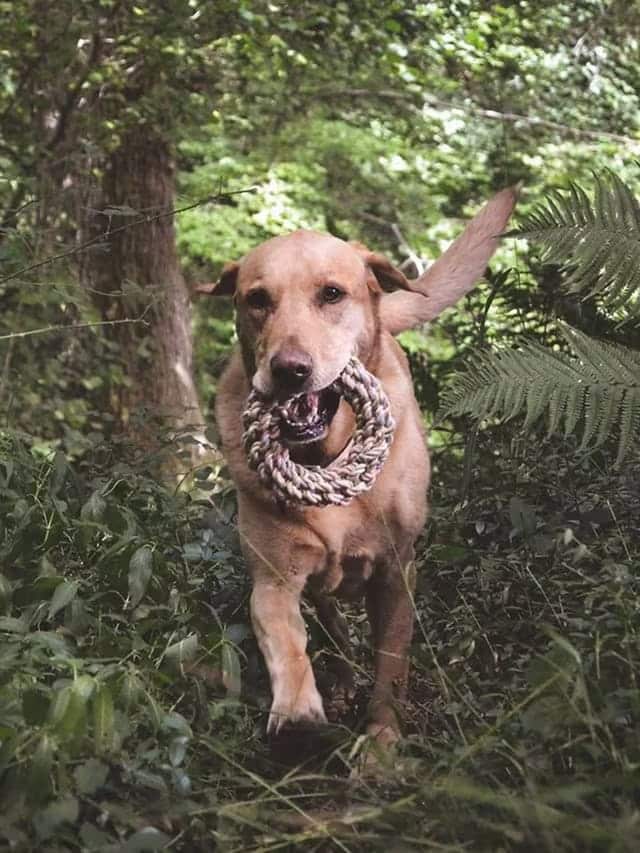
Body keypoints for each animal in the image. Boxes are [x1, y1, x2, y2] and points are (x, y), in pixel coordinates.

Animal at [202, 188, 516, 744]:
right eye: (257, 299)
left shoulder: (396, 574)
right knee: (332, 627)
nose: (289, 370)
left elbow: (391, 668)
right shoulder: (273, 580)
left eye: (331, 294)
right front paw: (298, 712)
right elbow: (286, 643)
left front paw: (380, 745)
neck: (324, 454)